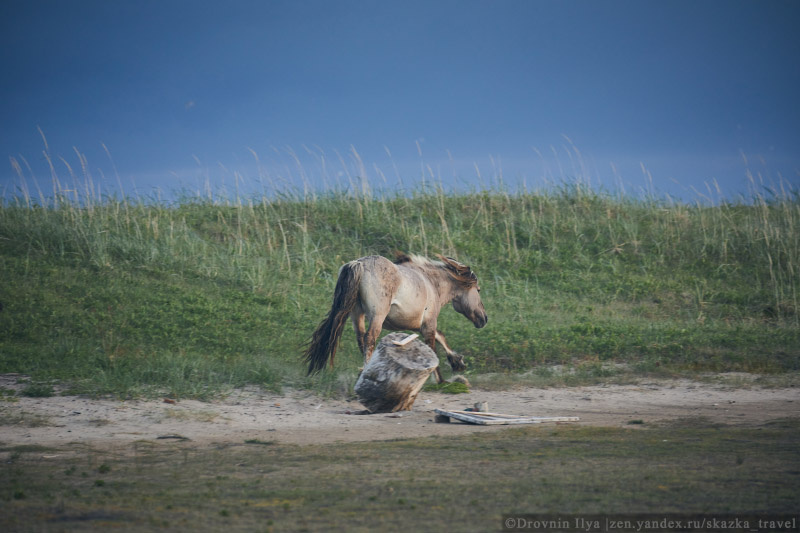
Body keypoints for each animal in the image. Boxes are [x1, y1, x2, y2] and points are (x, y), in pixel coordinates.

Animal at [302, 252, 484, 382]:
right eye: (479, 290)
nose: (484, 319)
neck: (431, 283)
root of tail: (360, 264)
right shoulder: (429, 323)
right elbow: (433, 345)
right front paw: (441, 379)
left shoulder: (419, 324)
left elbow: (440, 337)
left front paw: (457, 362)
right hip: (377, 316)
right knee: (369, 338)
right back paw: (367, 371)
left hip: (356, 314)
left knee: (361, 338)